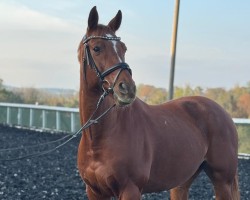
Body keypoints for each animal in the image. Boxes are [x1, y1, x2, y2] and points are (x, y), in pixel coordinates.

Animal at [77, 6, 239, 200]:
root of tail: (224, 113)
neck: (100, 138)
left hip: (222, 181)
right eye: (97, 48)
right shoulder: (94, 191)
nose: (127, 88)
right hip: (182, 181)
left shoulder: (130, 190)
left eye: (124, 48)